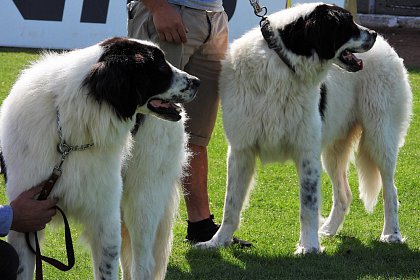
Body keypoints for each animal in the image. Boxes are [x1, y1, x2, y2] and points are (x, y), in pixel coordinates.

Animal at [196, 2, 378, 254]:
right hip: (333, 153)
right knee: (344, 195)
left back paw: (391, 235)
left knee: (391, 192)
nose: (374, 34)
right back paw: (329, 231)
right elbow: (230, 205)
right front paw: (217, 241)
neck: (283, 60)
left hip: (381, 139)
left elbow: (308, 207)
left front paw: (309, 246)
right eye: (347, 23)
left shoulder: (307, 152)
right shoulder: (241, 150)